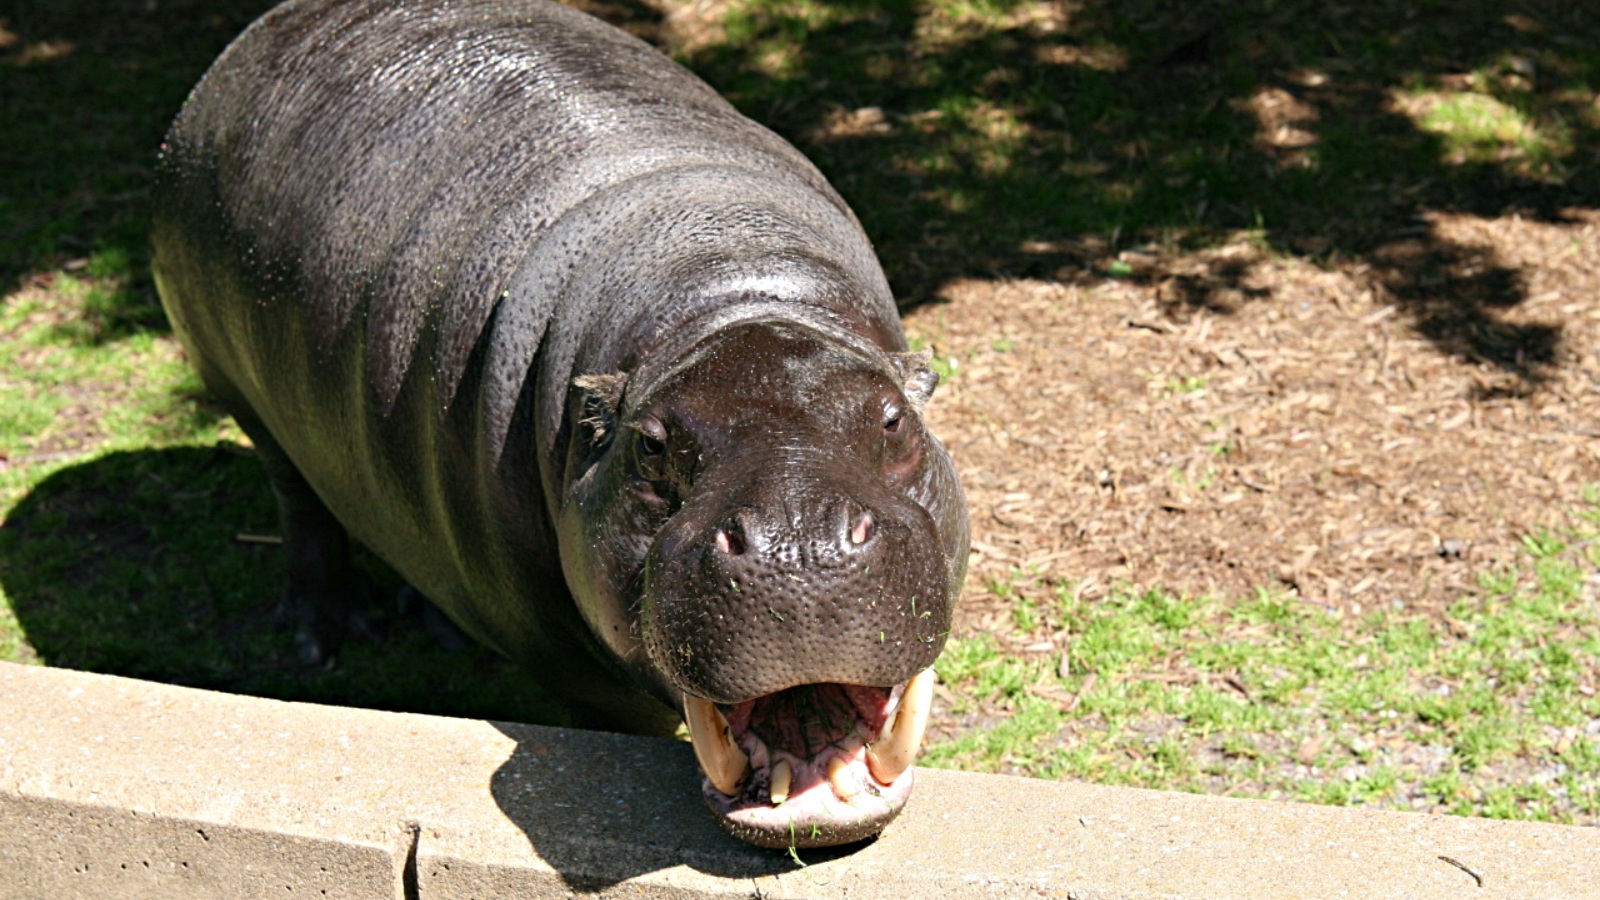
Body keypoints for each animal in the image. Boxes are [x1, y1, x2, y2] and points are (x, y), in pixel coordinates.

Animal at [151, 0, 967, 849]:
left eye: (895, 420)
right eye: (649, 448)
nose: (797, 543)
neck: (730, 287)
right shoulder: (576, 669)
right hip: (240, 397)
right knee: (302, 504)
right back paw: (328, 633)